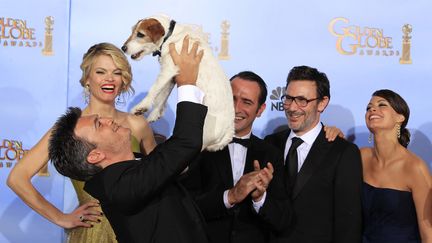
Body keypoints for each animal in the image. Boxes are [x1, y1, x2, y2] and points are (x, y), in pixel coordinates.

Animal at [123, 14, 235, 150]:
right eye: (133, 31)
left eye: (140, 34)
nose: (123, 48)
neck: (169, 36)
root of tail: (229, 128)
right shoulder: (171, 77)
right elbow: (162, 97)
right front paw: (154, 114)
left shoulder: (168, 70)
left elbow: (154, 89)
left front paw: (141, 107)